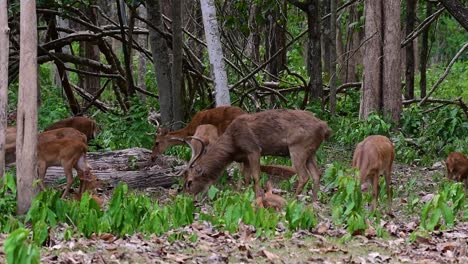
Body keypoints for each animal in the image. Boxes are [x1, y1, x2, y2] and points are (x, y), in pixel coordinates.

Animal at [181, 109, 330, 202]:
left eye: (190, 182)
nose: (186, 197)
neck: (233, 146)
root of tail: (324, 127)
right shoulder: (245, 157)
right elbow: (246, 177)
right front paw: (244, 194)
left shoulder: (253, 149)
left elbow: (256, 175)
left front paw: (258, 196)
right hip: (311, 152)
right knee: (317, 174)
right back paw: (313, 202)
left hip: (298, 147)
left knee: (304, 176)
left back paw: (292, 200)